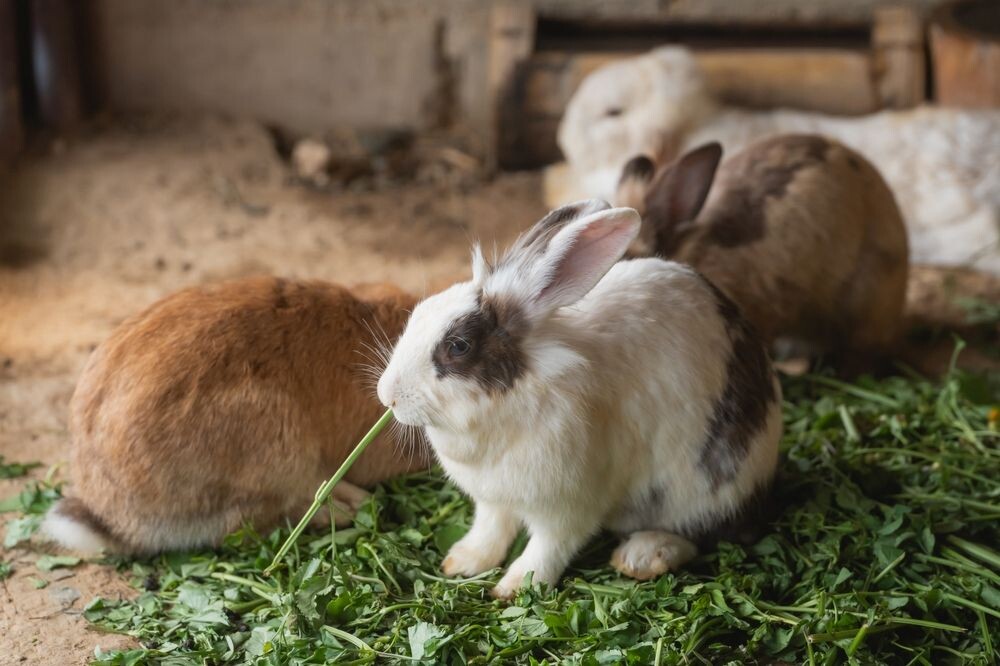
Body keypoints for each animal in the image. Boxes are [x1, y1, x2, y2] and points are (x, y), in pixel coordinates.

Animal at [376, 197, 780, 596]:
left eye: (458, 346)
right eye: (418, 312)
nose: (386, 395)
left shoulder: (568, 506)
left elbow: (548, 547)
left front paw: (515, 588)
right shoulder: (493, 499)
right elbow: (490, 528)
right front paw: (462, 562)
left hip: (704, 490)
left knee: (710, 533)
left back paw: (642, 556)